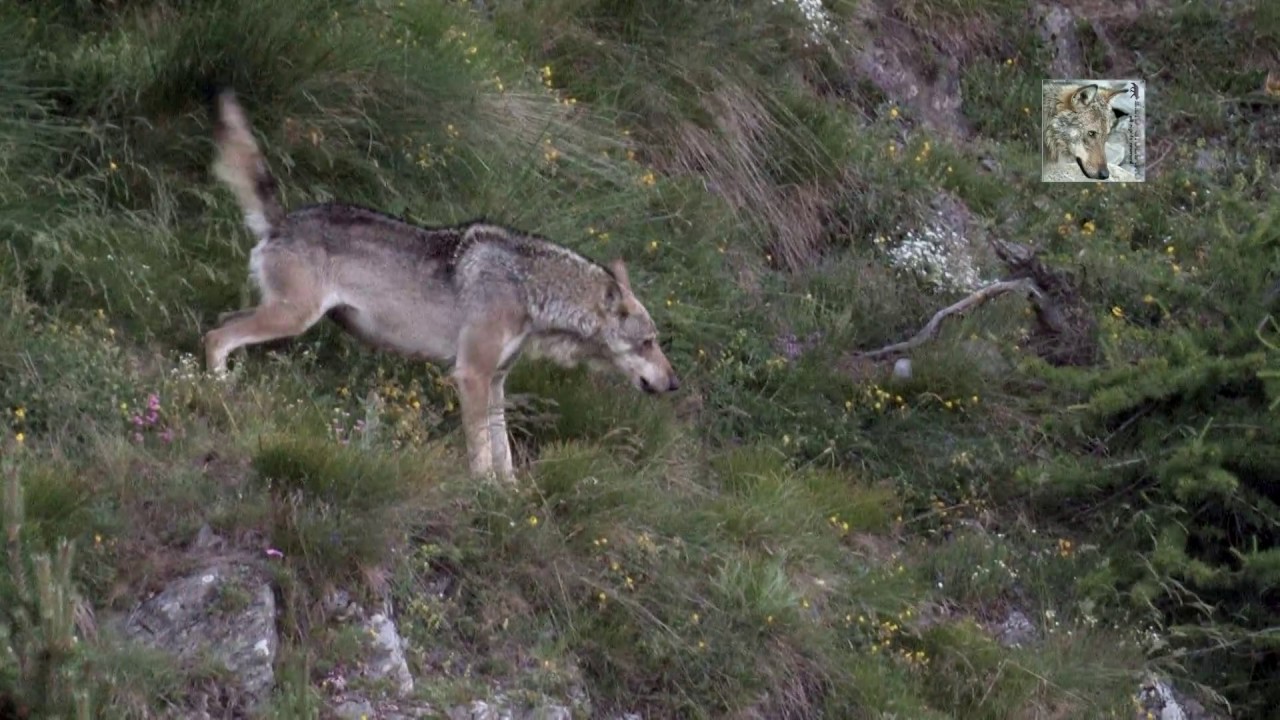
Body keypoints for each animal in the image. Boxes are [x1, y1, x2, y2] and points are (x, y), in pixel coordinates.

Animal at [204, 91, 680, 481]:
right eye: (648, 342)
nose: (674, 384)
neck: (528, 289)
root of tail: (281, 221)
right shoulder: (471, 375)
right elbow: (482, 452)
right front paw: (484, 495)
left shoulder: (496, 381)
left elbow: (504, 452)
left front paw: (510, 498)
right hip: (291, 318)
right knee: (216, 334)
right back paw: (216, 390)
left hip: (282, 315)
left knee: (222, 323)